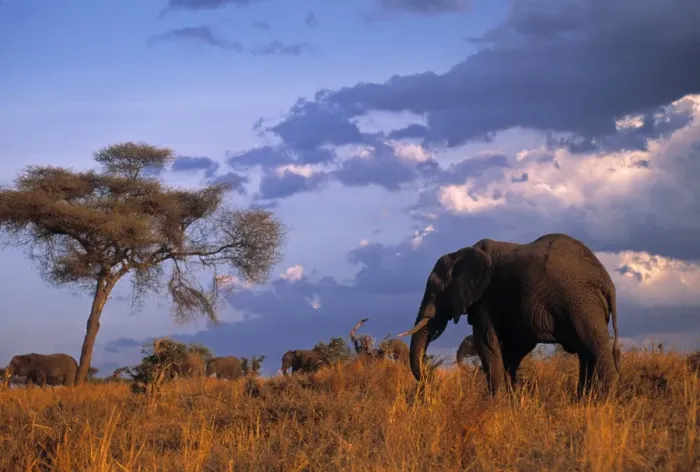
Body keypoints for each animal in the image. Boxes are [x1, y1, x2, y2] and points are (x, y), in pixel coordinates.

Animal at [398, 233, 621, 398]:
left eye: (436, 290)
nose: (432, 380)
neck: (461, 253)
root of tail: (607, 282)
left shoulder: (486, 298)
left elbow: (487, 341)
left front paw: (494, 405)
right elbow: (514, 349)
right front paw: (511, 400)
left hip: (580, 301)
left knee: (595, 344)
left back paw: (603, 401)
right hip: (583, 303)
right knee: (585, 351)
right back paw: (584, 401)